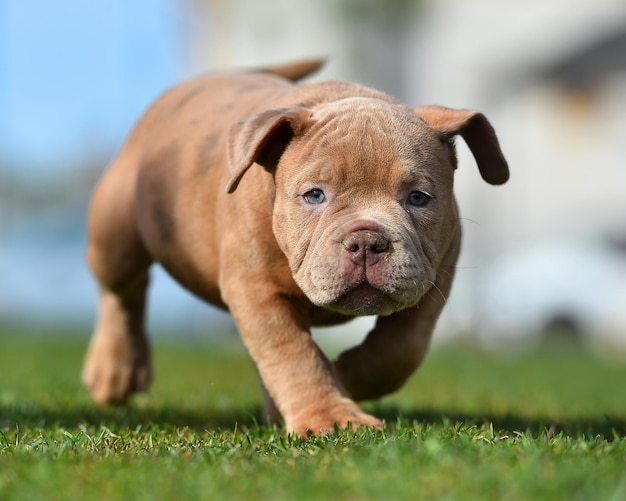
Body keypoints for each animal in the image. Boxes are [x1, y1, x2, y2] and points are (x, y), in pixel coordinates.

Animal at [80, 59, 508, 434]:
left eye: (419, 198)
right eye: (314, 195)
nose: (367, 241)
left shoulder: (437, 269)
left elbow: (403, 345)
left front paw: (348, 374)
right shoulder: (256, 290)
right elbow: (293, 354)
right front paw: (331, 418)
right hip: (116, 234)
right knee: (122, 291)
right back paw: (114, 370)